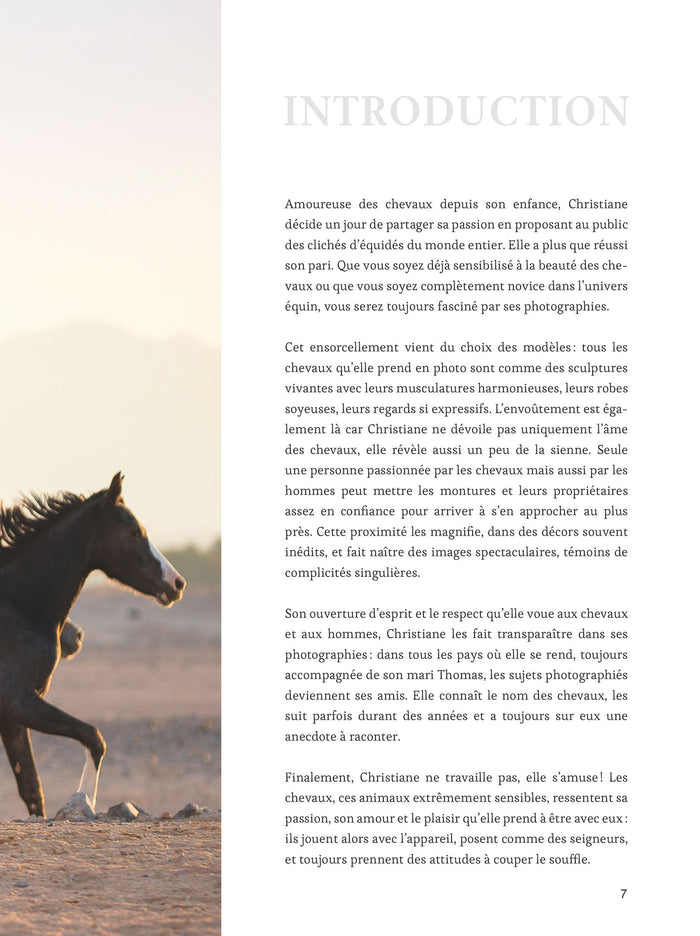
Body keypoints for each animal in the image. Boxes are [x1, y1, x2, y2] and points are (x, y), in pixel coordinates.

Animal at [0, 473, 185, 817]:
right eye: (134, 531)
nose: (177, 583)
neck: (18, 607)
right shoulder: (18, 702)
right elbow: (94, 737)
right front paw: (85, 799)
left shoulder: (13, 716)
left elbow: (32, 788)